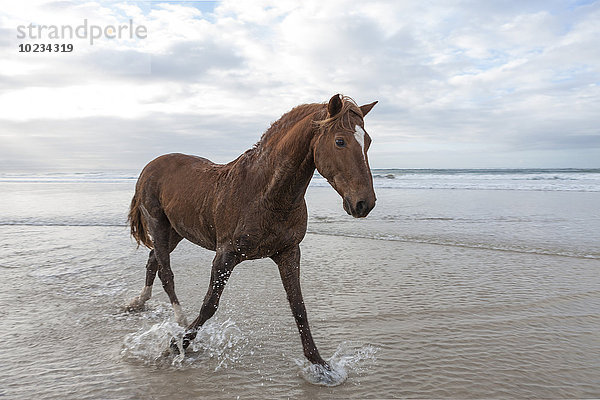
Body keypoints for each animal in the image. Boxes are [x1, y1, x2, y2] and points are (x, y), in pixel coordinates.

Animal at [129, 94, 378, 368]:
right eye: (340, 141)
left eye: (367, 141)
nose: (364, 203)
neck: (263, 191)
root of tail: (150, 165)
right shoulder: (225, 256)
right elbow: (209, 305)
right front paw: (178, 344)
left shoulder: (289, 253)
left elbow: (299, 307)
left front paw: (319, 363)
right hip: (158, 224)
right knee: (165, 271)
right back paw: (179, 320)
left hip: (176, 231)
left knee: (153, 259)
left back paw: (139, 303)